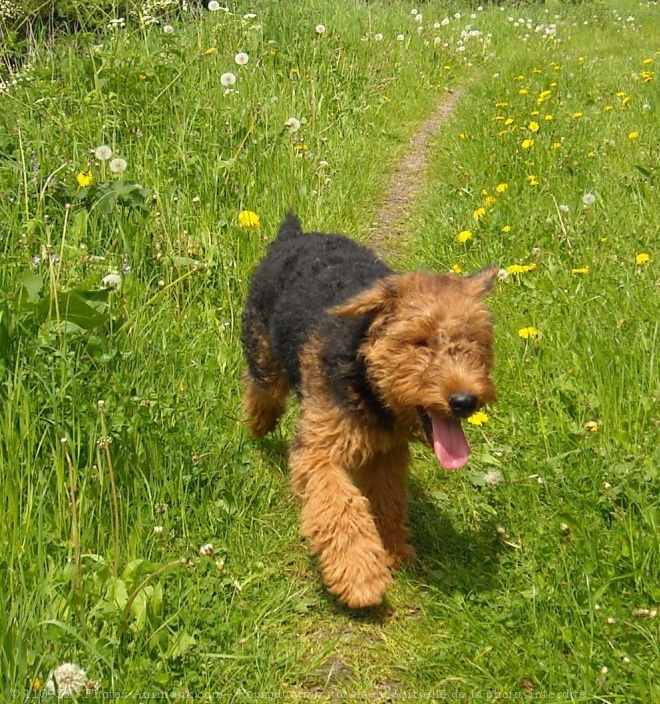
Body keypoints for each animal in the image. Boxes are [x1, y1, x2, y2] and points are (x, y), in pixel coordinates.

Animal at [241, 212, 496, 608]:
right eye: (420, 342)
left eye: (476, 341)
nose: (464, 400)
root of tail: (294, 235)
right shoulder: (319, 451)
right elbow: (340, 508)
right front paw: (360, 576)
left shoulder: (387, 453)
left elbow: (387, 500)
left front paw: (394, 550)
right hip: (262, 351)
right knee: (260, 386)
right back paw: (259, 422)